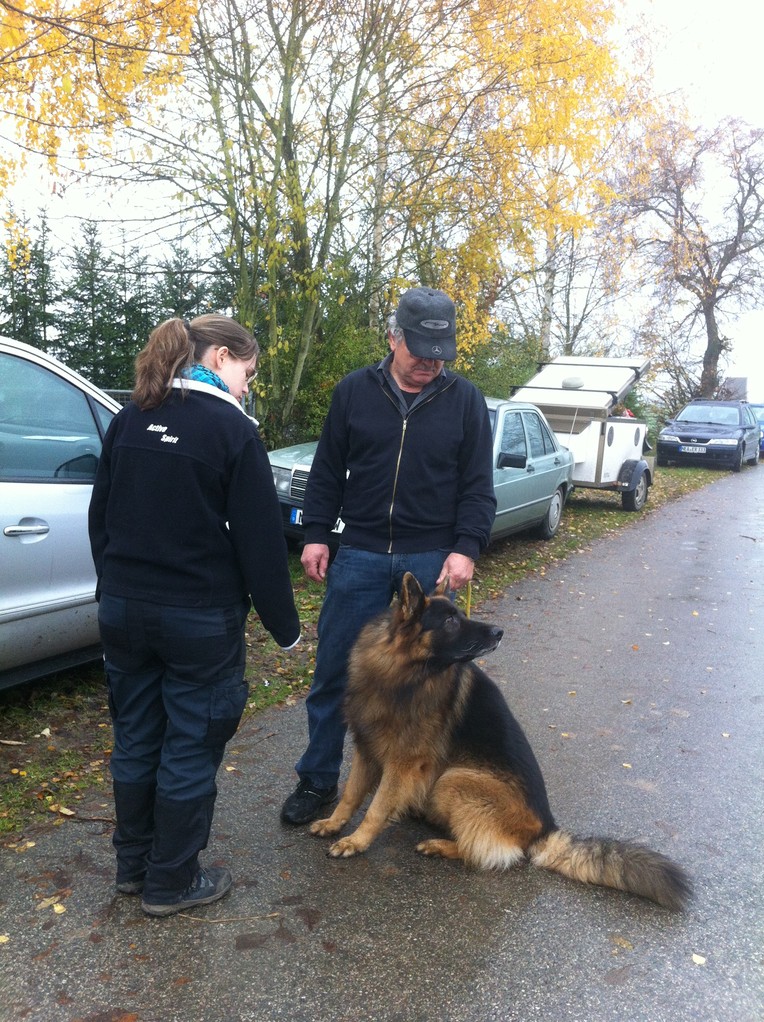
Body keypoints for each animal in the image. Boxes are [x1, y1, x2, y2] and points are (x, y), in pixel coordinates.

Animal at [310, 572, 690, 915]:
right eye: (450, 620)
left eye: (459, 616)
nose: (498, 632)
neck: (403, 672)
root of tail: (545, 829)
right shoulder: (366, 748)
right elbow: (351, 794)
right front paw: (334, 823)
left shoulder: (403, 763)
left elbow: (376, 807)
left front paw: (357, 841)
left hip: (454, 780)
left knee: (488, 852)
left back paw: (441, 844)